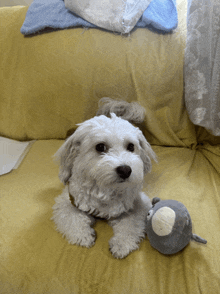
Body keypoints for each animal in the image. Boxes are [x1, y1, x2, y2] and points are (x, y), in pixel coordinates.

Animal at [52, 98, 156, 258]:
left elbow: (131, 225)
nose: (125, 170)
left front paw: (121, 244)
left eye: (131, 147)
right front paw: (83, 236)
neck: (106, 189)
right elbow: (73, 219)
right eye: (100, 147)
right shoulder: (67, 203)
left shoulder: (138, 205)